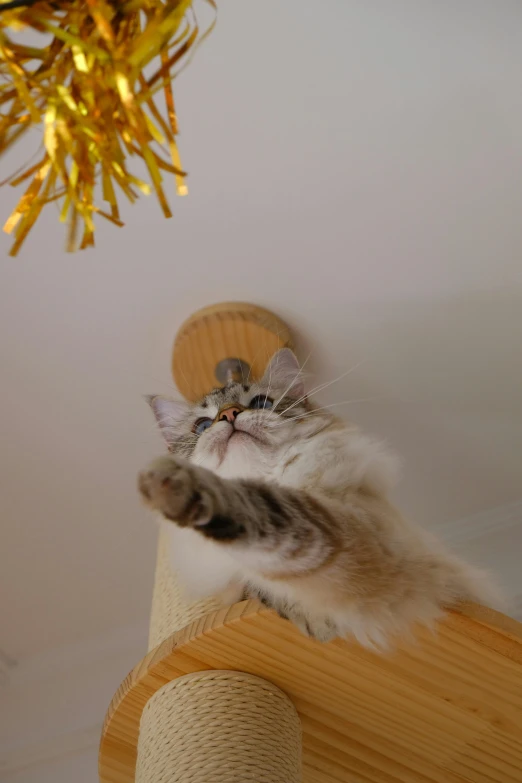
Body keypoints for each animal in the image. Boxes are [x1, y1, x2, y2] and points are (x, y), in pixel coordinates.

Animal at [137, 350, 496, 648]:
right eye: (203, 425)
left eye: (261, 403)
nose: (230, 414)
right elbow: (252, 581)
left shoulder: (352, 538)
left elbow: (276, 522)